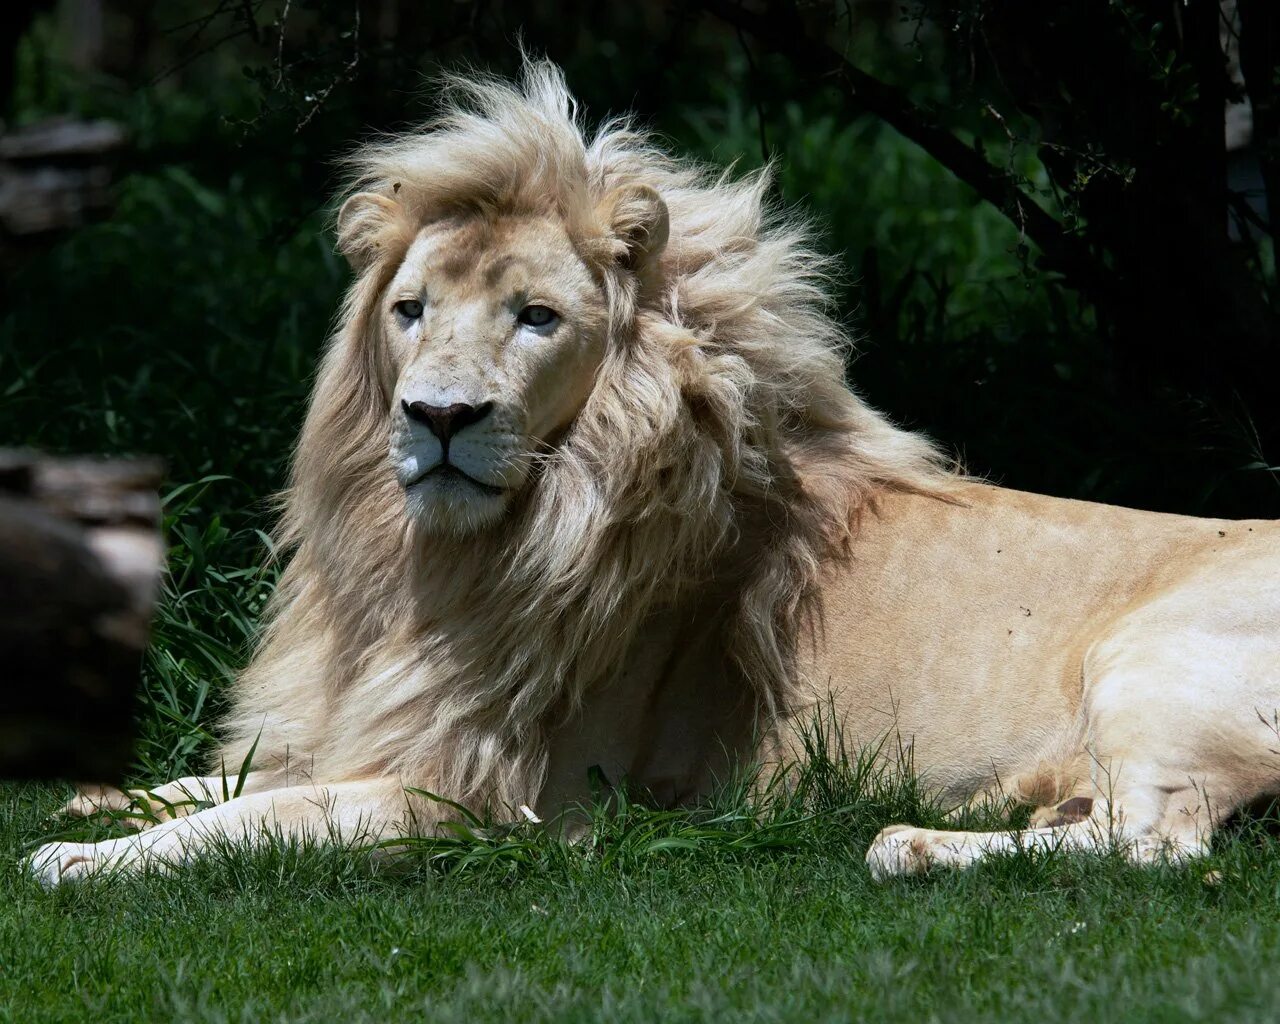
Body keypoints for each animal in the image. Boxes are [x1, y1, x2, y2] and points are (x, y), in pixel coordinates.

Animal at [27, 62, 1280, 885]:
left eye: (535, 318)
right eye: (410, 309)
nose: (438, 417)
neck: (432, 565)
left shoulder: (482, 795)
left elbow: (250, 821)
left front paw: (82, 856)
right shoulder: (373, 732)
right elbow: (228, 782)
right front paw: (94, 792)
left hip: (1150, 662)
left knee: (1157, 846)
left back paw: (901, 842)